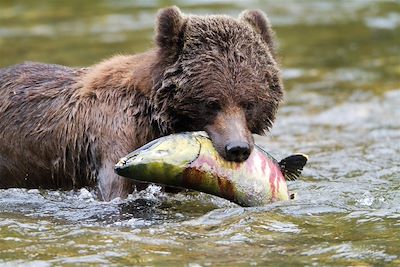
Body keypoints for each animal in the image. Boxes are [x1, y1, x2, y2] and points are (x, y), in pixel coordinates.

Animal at [0, 5, 282, 201]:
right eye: (212, 103)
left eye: (249, 103)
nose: (238, 148)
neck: (155, 114)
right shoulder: (114, 136)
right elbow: (116, 190)